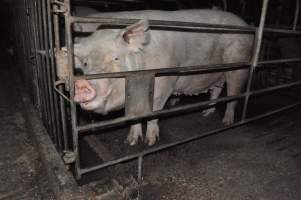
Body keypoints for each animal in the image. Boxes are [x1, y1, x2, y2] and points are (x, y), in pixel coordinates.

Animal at [71, 9, 253, 145]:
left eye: (116, 58)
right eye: (86, 63)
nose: (82, 84)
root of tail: (246, 25)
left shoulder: (164, 84)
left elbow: (154, 112)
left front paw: (150, 142)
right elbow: (135, 117)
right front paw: (131, 142)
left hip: (239, 66)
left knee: (233, 94)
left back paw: (227, 122)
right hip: (217, 72)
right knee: (216, 89)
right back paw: (206, 113)